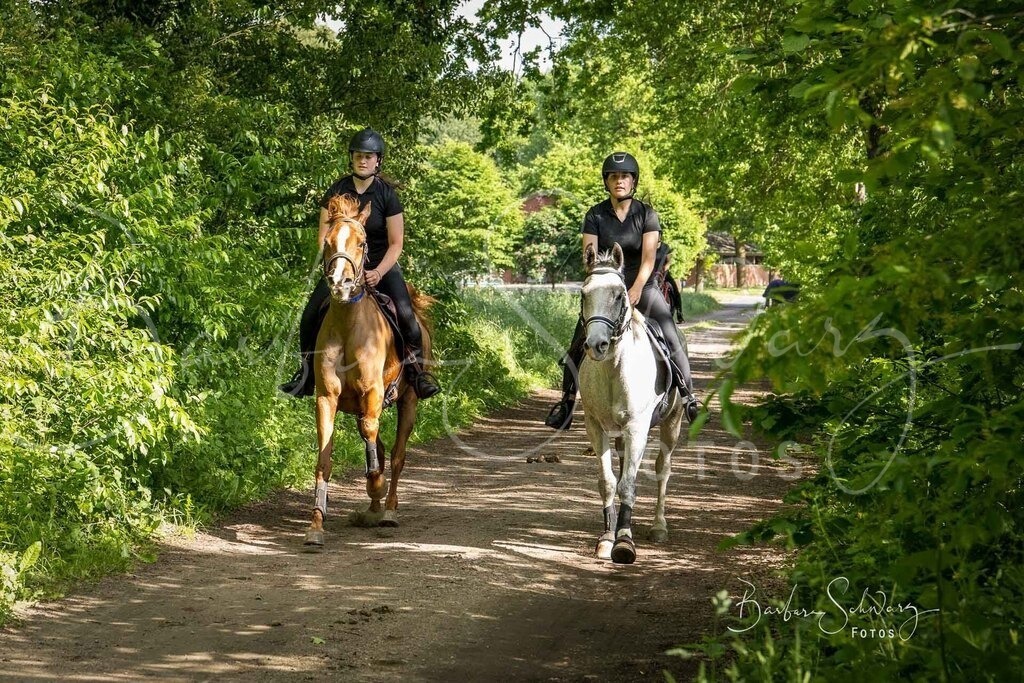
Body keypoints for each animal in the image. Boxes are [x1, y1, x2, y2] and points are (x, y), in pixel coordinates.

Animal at [304, 193, 434, 546]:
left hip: (408, 401)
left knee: (397, 454)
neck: (349, 325)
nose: (340, 284)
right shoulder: (327, 398)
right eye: (328, 241)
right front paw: (316, 526)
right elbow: (325, 459)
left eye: (362, 243)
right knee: (377, 444)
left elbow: (374, 439)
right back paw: (372, 510)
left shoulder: (373, 392)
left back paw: (386, 510)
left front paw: (375, 485)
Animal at [578, 243, 685, 564]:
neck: (614, 370)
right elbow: (608, 481)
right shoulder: (595, 427)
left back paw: (659, 526)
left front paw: (624, 541)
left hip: (671, 424)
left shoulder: (638, 429)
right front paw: (606, 538)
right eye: (583, 294)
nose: (597, 345)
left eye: (619, 295)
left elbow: (628, 483)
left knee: (663, 469)